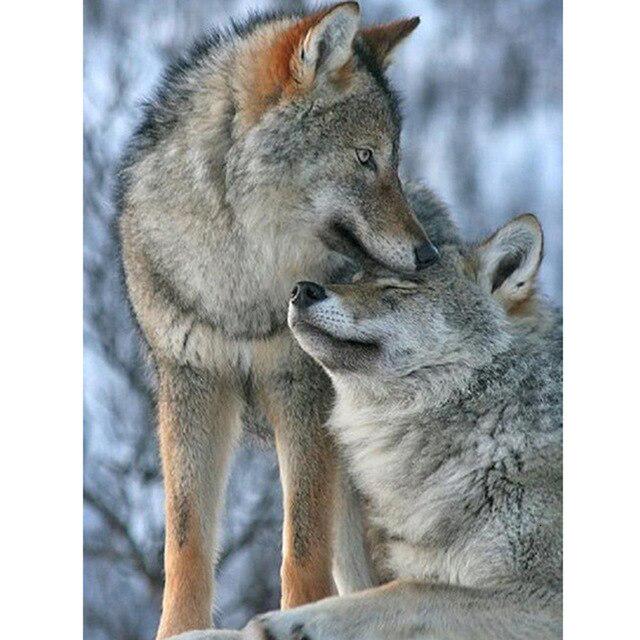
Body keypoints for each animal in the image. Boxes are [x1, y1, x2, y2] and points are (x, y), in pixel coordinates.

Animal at [117, 2, 453, 636]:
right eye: (365, 157)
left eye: (394, 163)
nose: (428, 256)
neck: (241, 278)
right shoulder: (192, 383)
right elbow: (185, 540)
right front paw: (180, 630)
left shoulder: (302, 389)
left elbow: (301, 544)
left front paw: (296, 615)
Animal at [242, 213, 562, 640]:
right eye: (356, 278)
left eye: (397, 288)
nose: (301, 290)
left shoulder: (546, 596)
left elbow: (408, 591)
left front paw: (284, 622)